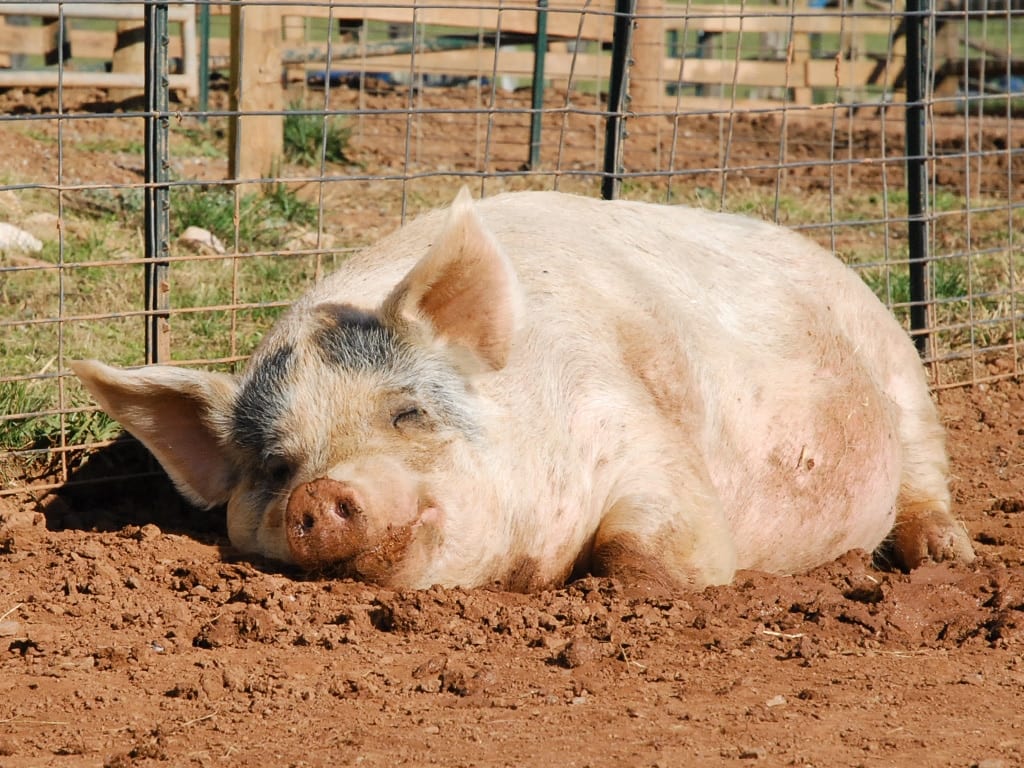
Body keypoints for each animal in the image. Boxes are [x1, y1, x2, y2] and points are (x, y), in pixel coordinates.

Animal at [72, 189, 975, 592]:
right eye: (274, 467)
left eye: (408, 412)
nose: (323, 492)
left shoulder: (636, 427)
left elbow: (654, 544)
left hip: (900, 367)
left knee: (925, 478)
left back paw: (949, 559)